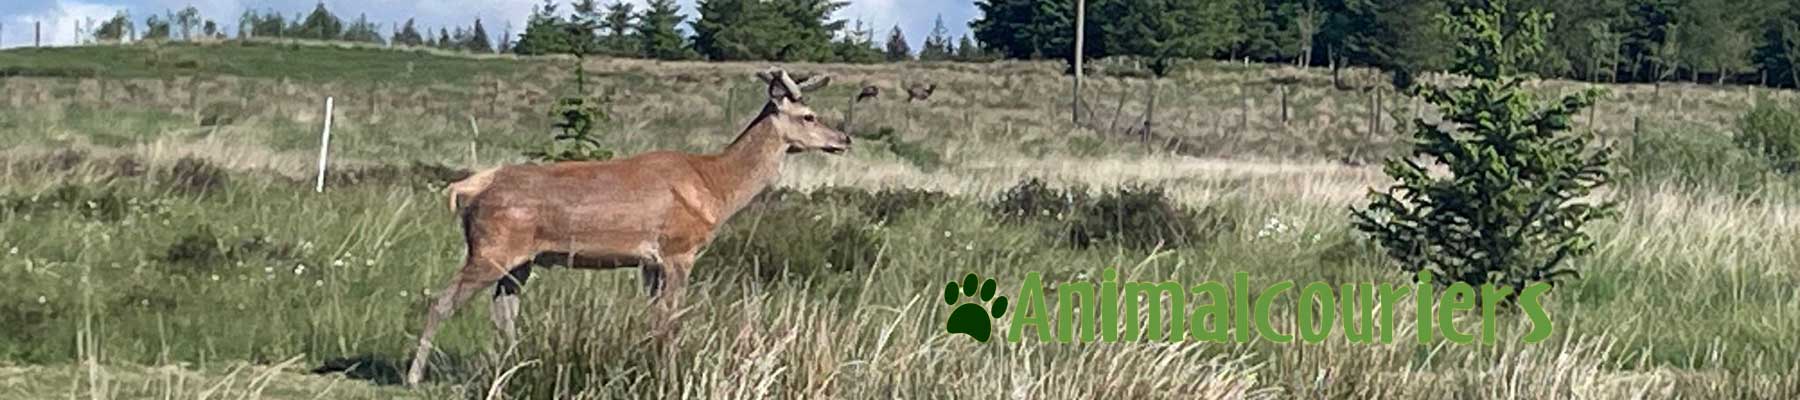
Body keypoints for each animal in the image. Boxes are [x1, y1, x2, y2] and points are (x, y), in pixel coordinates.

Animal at [406, 68, 847, 386]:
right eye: (808, 116)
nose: (844, 139)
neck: (716, 188)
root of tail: (472, 188)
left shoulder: (650, 262)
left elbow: (655, 320)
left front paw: (649, 366)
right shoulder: (678, 249)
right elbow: (671, 320)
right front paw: (669, 375)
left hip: (519, 259)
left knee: (504, 310)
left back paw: (514, 368)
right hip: (490, 248)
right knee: (442, 302)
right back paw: (414, 376)